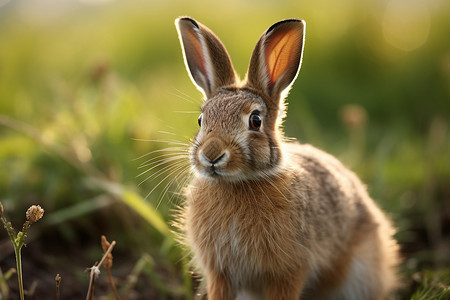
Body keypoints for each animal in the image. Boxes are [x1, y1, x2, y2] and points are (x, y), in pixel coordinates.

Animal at [174, 17, 400, 300]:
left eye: (255, 121)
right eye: (201, 120)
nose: (211, 155)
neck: (237, 183)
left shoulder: (288, 271)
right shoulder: (220, 273)